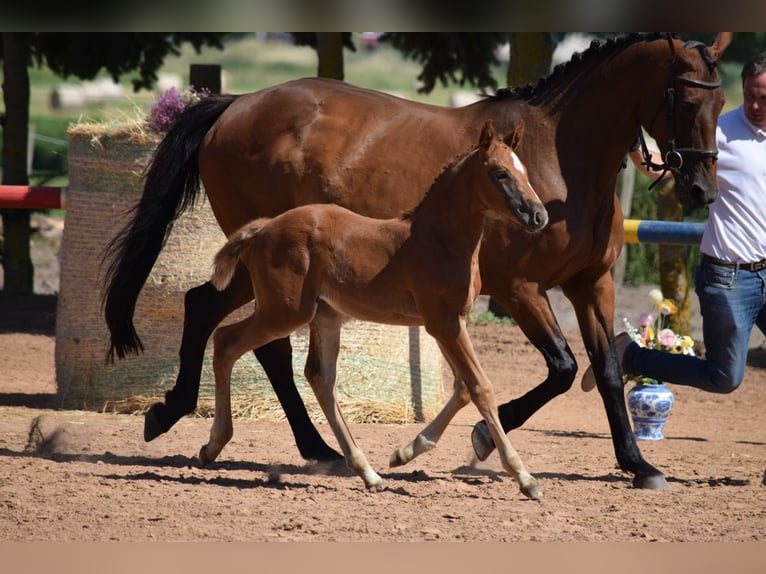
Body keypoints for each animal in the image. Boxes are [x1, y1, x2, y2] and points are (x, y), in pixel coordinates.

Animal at [200, 120, 548, 498]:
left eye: (525, 172)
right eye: (500, 173)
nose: (539, 216)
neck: (440, 239)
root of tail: (264, 228)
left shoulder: (448, 323)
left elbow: (462, 388)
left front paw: (404, 452)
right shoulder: (443, 322)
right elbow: (481, 387)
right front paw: (525, 477)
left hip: (324, 315)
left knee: (320, 377)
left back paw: (368, 472)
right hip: (284, 311)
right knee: (226, 341)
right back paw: (213, 444)